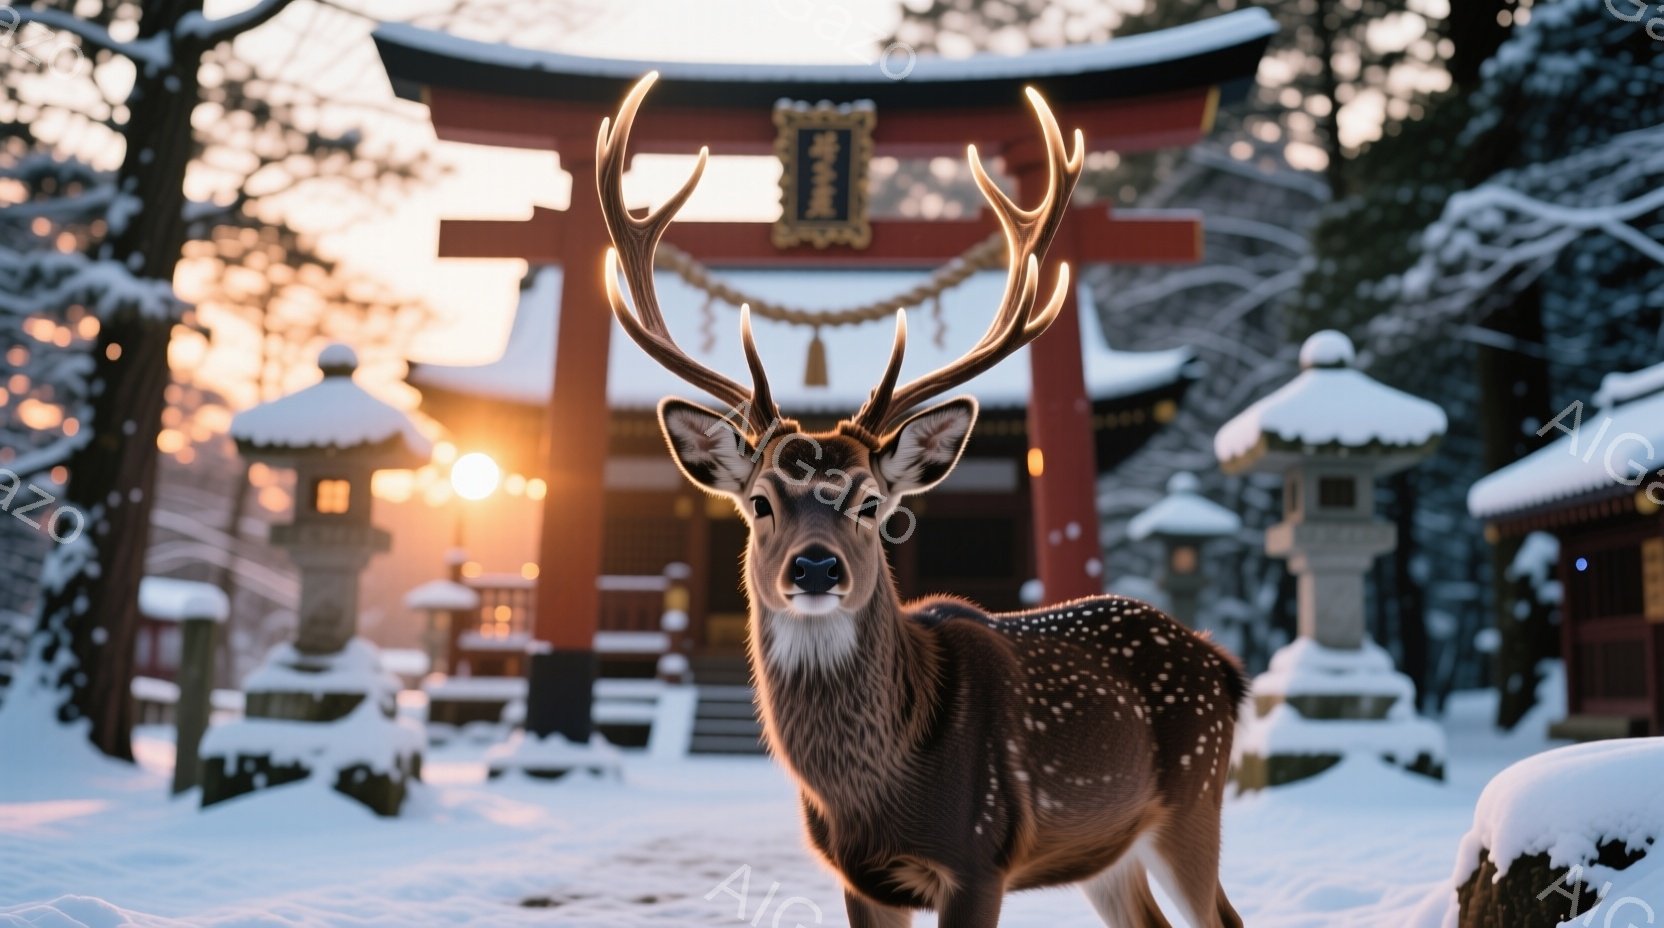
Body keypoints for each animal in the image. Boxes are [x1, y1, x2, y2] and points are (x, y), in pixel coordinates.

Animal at [596, 72, 1249, 928]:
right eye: (762, 502)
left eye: (872, 503)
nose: (815, 568)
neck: (872, 793)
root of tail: (1224, 664)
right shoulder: (860, 875)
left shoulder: (979, 854)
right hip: (1108, 849)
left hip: (1194, 798)